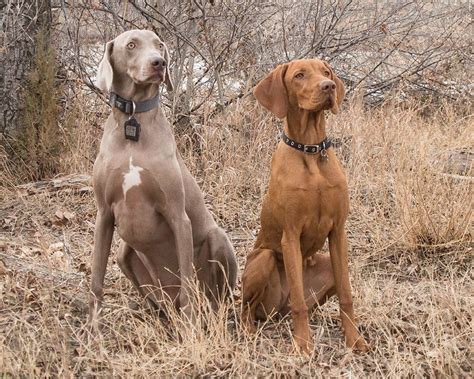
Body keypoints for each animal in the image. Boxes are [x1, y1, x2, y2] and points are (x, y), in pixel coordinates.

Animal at [243, 58, 368, 354]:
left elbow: (347, 295)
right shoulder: (290, 235)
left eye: (326, 72)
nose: (329, 86)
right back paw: (249, 330)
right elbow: (299, 303)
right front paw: (302, 345)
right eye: (299, 75)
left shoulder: (338, 232)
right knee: (249, 307)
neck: (311, 151)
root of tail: (277, 310)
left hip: (326, 265)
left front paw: (354, 338)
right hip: (264, 258)